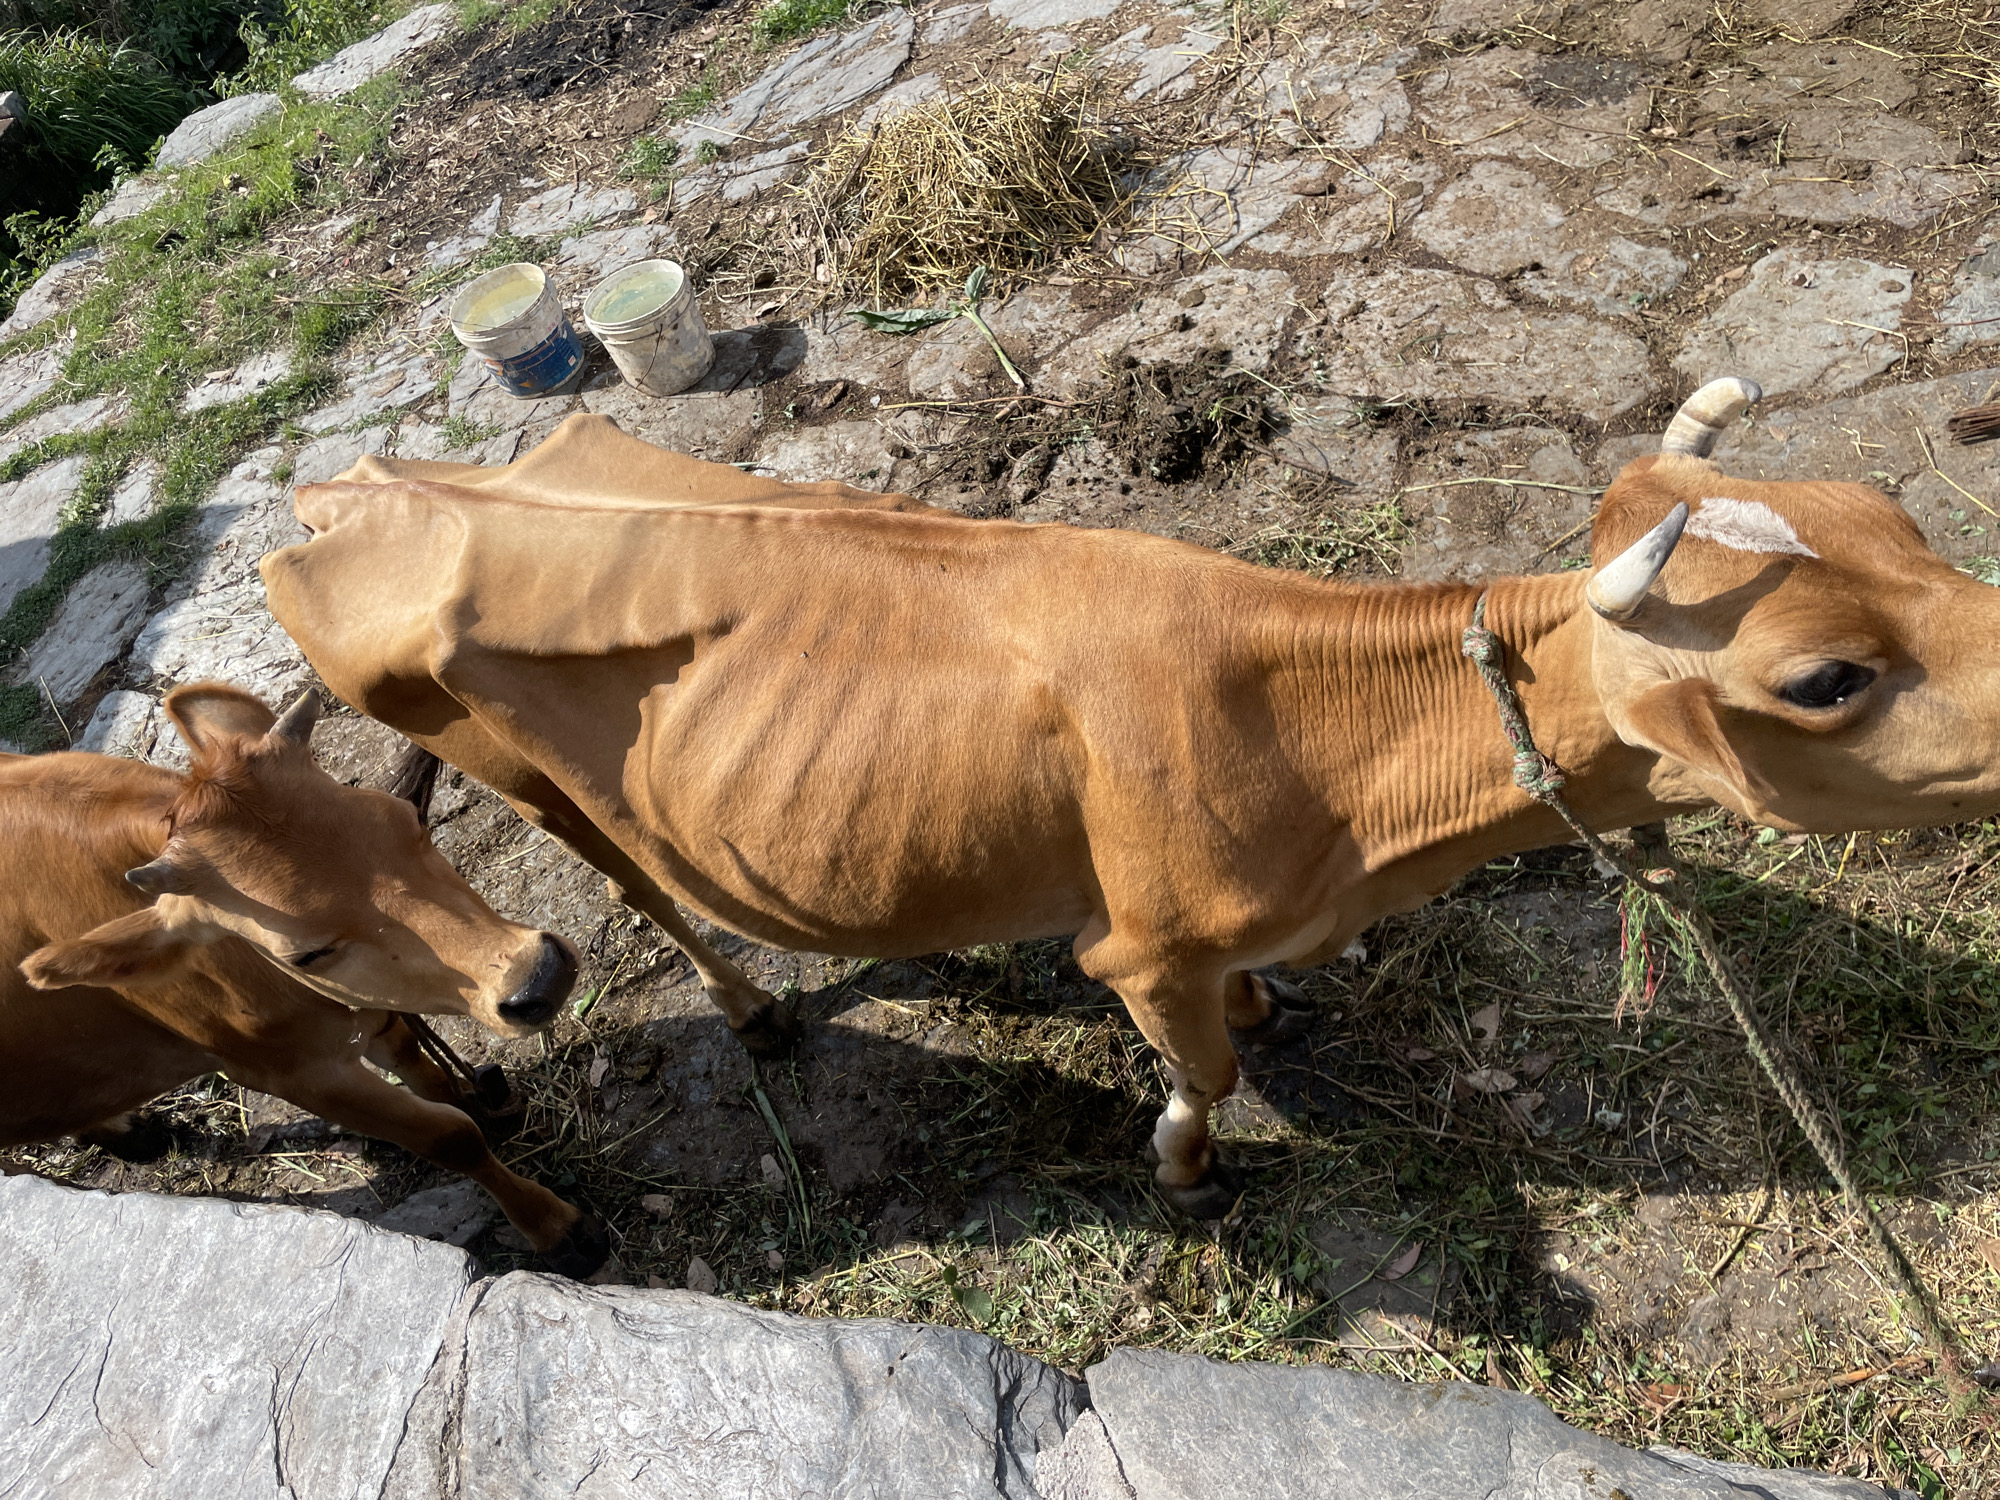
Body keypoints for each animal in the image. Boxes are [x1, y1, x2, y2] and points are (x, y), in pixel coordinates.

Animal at [0, 681, 607, 1274]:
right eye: (307, 953)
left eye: (408, 818)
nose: (540, 976)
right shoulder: (291, 1072)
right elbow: (451, 1137)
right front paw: (557, 1230)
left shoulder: (368, 1013)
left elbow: (427, 1076)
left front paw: (477, 1106)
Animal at [261, 379, 2000, 1216]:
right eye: (1824, 677)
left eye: (1892, 512)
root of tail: (359, 481)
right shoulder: (1142, 948)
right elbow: (1203, 1075)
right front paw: (1184, 1168)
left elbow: (1251, 1016)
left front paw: (1279, 1008)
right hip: (490, 765)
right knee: (623, 879)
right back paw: (750, 1013)